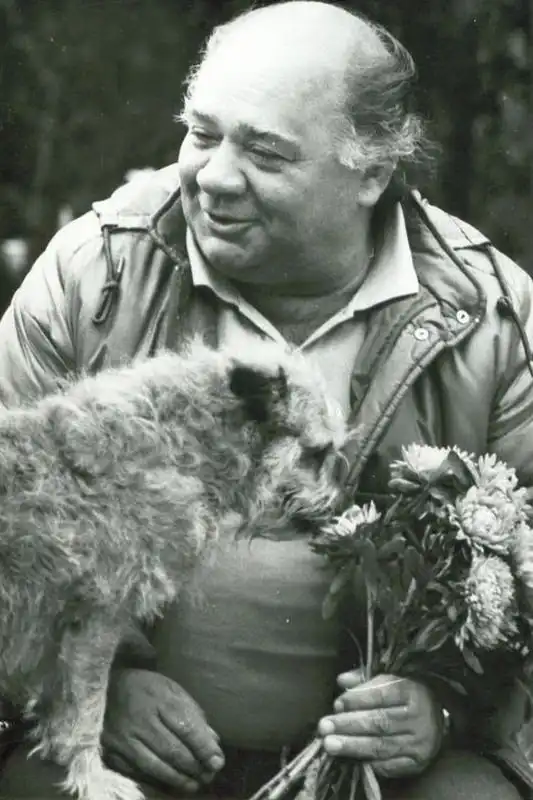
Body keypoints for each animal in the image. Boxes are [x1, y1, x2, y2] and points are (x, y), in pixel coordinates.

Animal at [0, 340, 345, 800]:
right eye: (317, 452)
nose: (339, 507)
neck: (180, 445)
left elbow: (64, 702)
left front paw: (62, 751)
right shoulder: (97, 623)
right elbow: (89, 709)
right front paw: (90, 776)